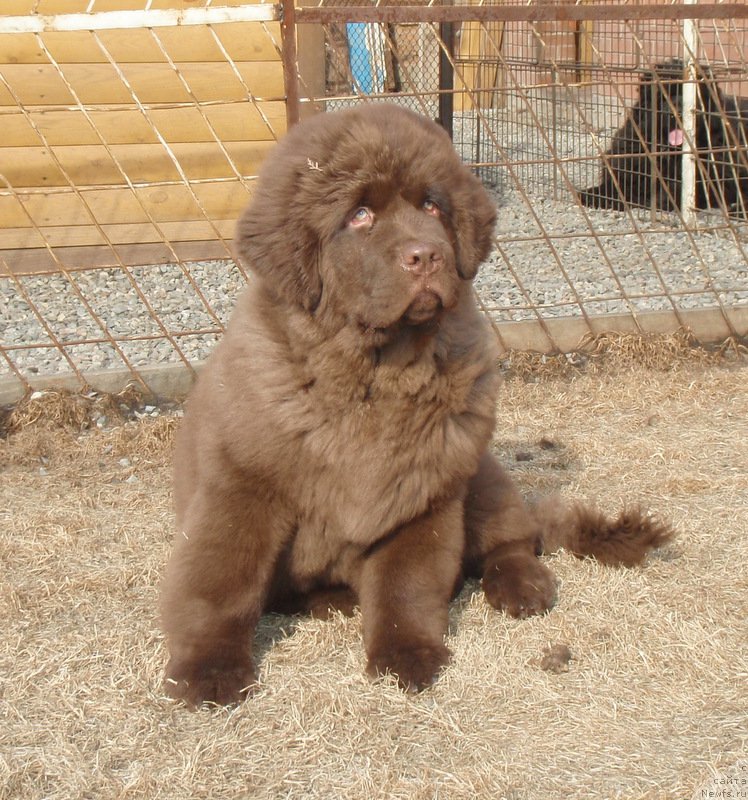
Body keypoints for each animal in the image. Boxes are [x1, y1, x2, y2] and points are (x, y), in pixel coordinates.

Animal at [159, 104, 672, 708]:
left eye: (431, 205)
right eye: (359, 215)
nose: (427, 255)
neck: (376, 378)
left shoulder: (425, 496)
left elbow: (406, 588)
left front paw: (408, 658)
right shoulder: (240, 490)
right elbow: (220, 584)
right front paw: (208, 671)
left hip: (481, 472)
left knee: (514, 539)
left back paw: (523, 587)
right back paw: (332, 600)